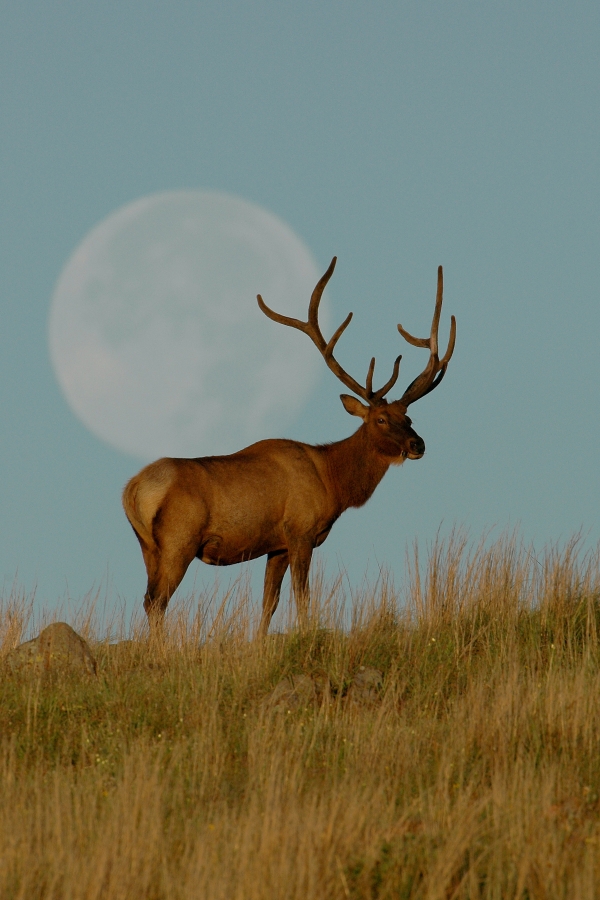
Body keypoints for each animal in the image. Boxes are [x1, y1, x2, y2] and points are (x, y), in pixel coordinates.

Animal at [124, 256, 458, 636]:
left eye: (409, 416)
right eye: (381, 419)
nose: (418, 444)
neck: (334, 483)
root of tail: (133, 489)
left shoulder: (277, 546)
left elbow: (269, 602)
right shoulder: (301, 531)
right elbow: (302, 595)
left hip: (148, 547)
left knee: (150, 599)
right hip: (178, 542)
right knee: (156, 602)